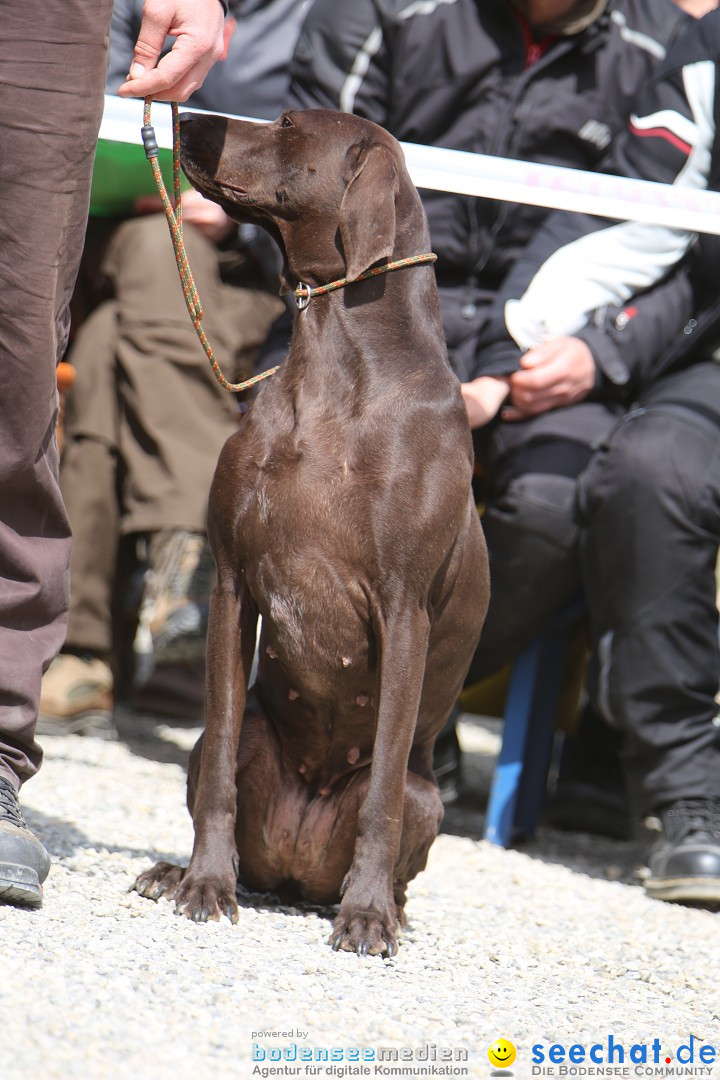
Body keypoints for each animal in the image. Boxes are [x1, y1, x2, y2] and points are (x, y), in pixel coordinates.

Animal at [134, 109, 490, 954]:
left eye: (290, 125)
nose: (189, 117)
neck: (337, 365)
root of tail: (297, 873)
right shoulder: (233, 583)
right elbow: (221, 768)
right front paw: (205, 883)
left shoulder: (404, 612)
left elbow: (381, 792)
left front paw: (367, 916)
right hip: (227, 745)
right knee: (220, 760)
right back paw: (182, 870)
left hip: (429, 800)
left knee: (398, 814)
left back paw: (385, 905)